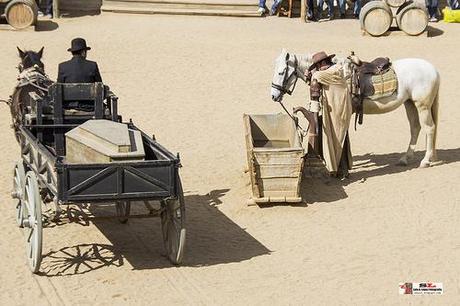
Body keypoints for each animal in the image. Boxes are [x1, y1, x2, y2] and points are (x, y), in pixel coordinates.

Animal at [272, 50, 440, 170]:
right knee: (415, 128)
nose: (274, 96)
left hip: (422, 106)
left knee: (429, 128)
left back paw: (425, 161)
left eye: (281, 72)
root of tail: (434, 70)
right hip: (409, 104)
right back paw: (406, 159)